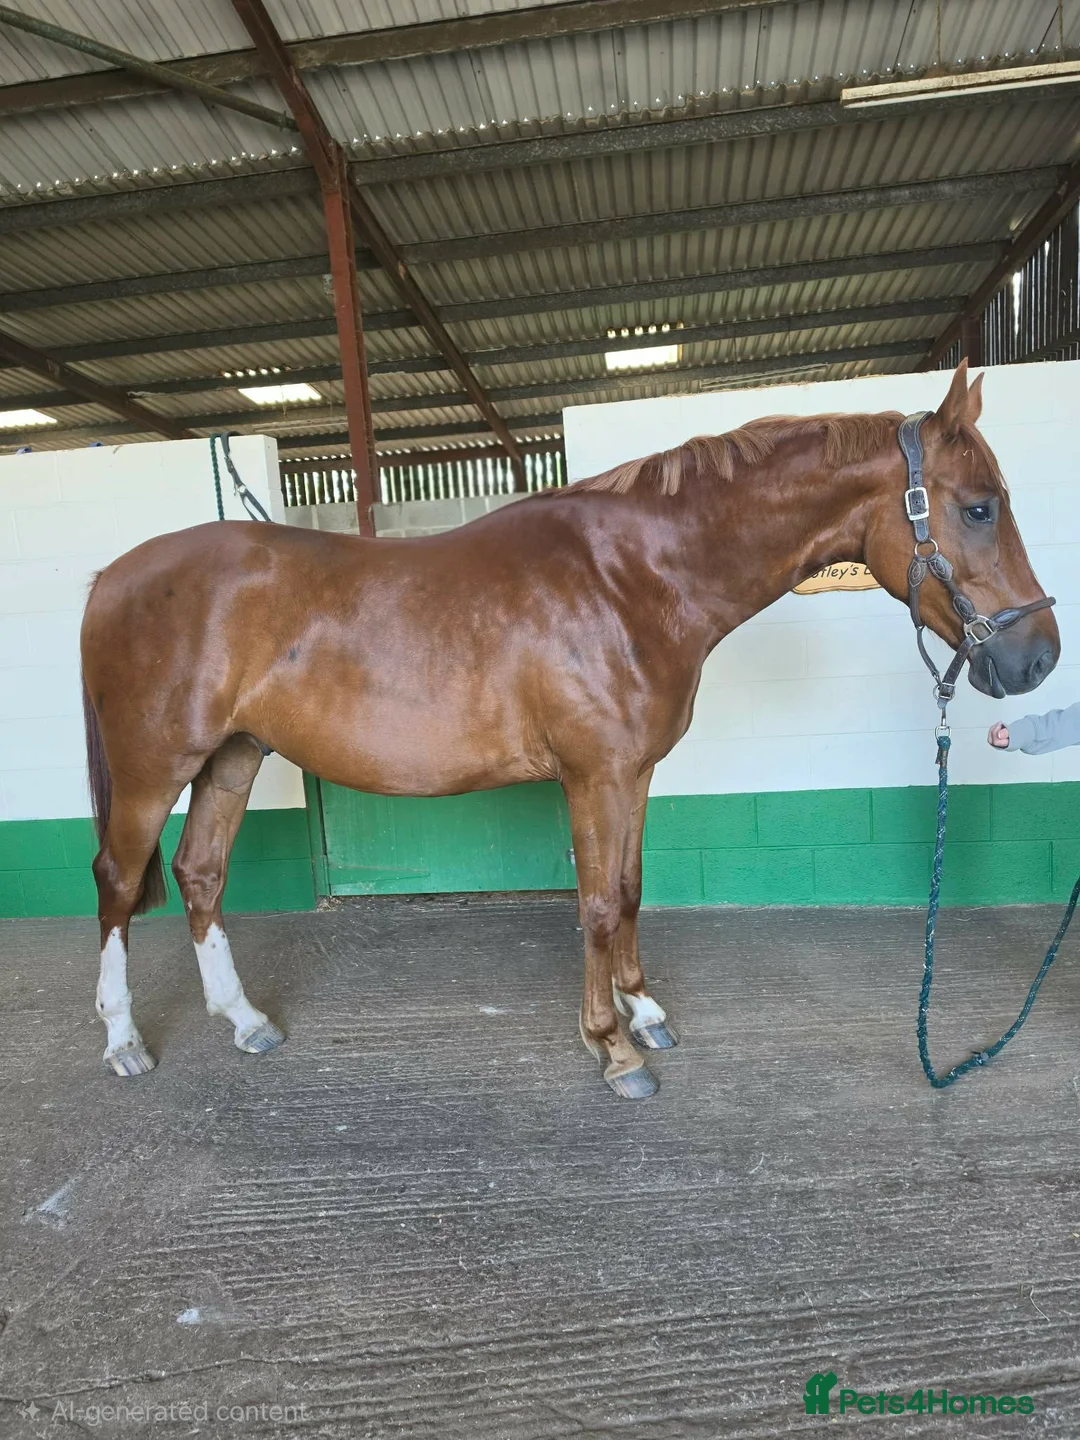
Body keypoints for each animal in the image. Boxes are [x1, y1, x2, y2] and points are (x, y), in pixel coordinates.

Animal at [80, 362, 1059, 1098]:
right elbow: (592, 903)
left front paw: (645, 1014)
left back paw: (245, 1021)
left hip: (233, 757)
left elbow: (626, 890)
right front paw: (612, 1048)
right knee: (119, 882)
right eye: (979, 507)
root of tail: (108, 579)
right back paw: (122, 1041)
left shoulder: (634, 774)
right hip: (152, 769)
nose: (1038, 659)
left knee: (200, 874)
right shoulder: (594, 775)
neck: (633, 577)